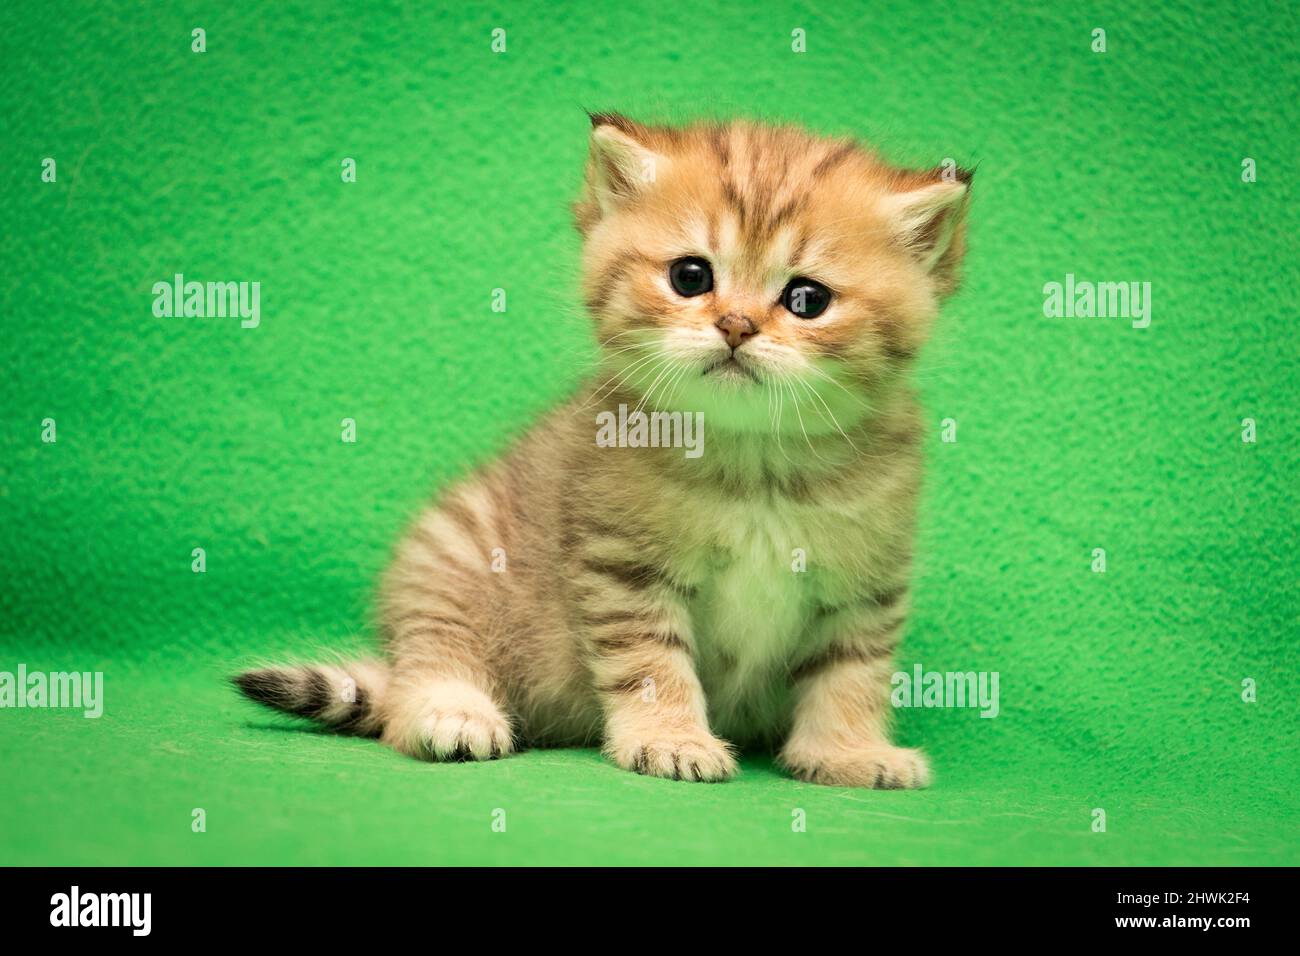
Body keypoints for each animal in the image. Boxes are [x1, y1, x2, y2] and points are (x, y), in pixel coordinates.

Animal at [233, 111, 972, 790]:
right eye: (690, 276)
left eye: (807, 299)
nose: (736, 325)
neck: (754, 461)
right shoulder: (623, 569)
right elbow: (650, 665)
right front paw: (671, 738)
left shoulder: (866, 585)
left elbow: (852, 674)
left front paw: (848, 752)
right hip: (449, 560)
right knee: (430, 659)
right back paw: (454, 712)